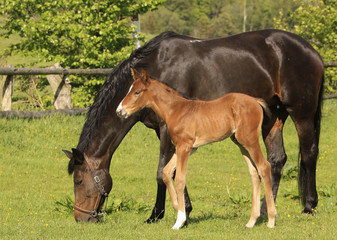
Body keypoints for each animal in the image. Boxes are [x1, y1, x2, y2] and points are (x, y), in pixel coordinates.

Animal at [115, 68, 276, 230]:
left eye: (137, 92)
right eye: (129, 89)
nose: (119, 111)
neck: (176, 110)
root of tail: (255, 101)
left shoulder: (184, 147)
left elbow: (180, 179)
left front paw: (179, 221)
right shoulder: (185, 147)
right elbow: (166, 172)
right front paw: (178, 209)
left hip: (250, 140)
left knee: (264, 167)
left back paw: (271, 220)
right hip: (240, 143)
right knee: (254, 173)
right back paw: (251, 221)